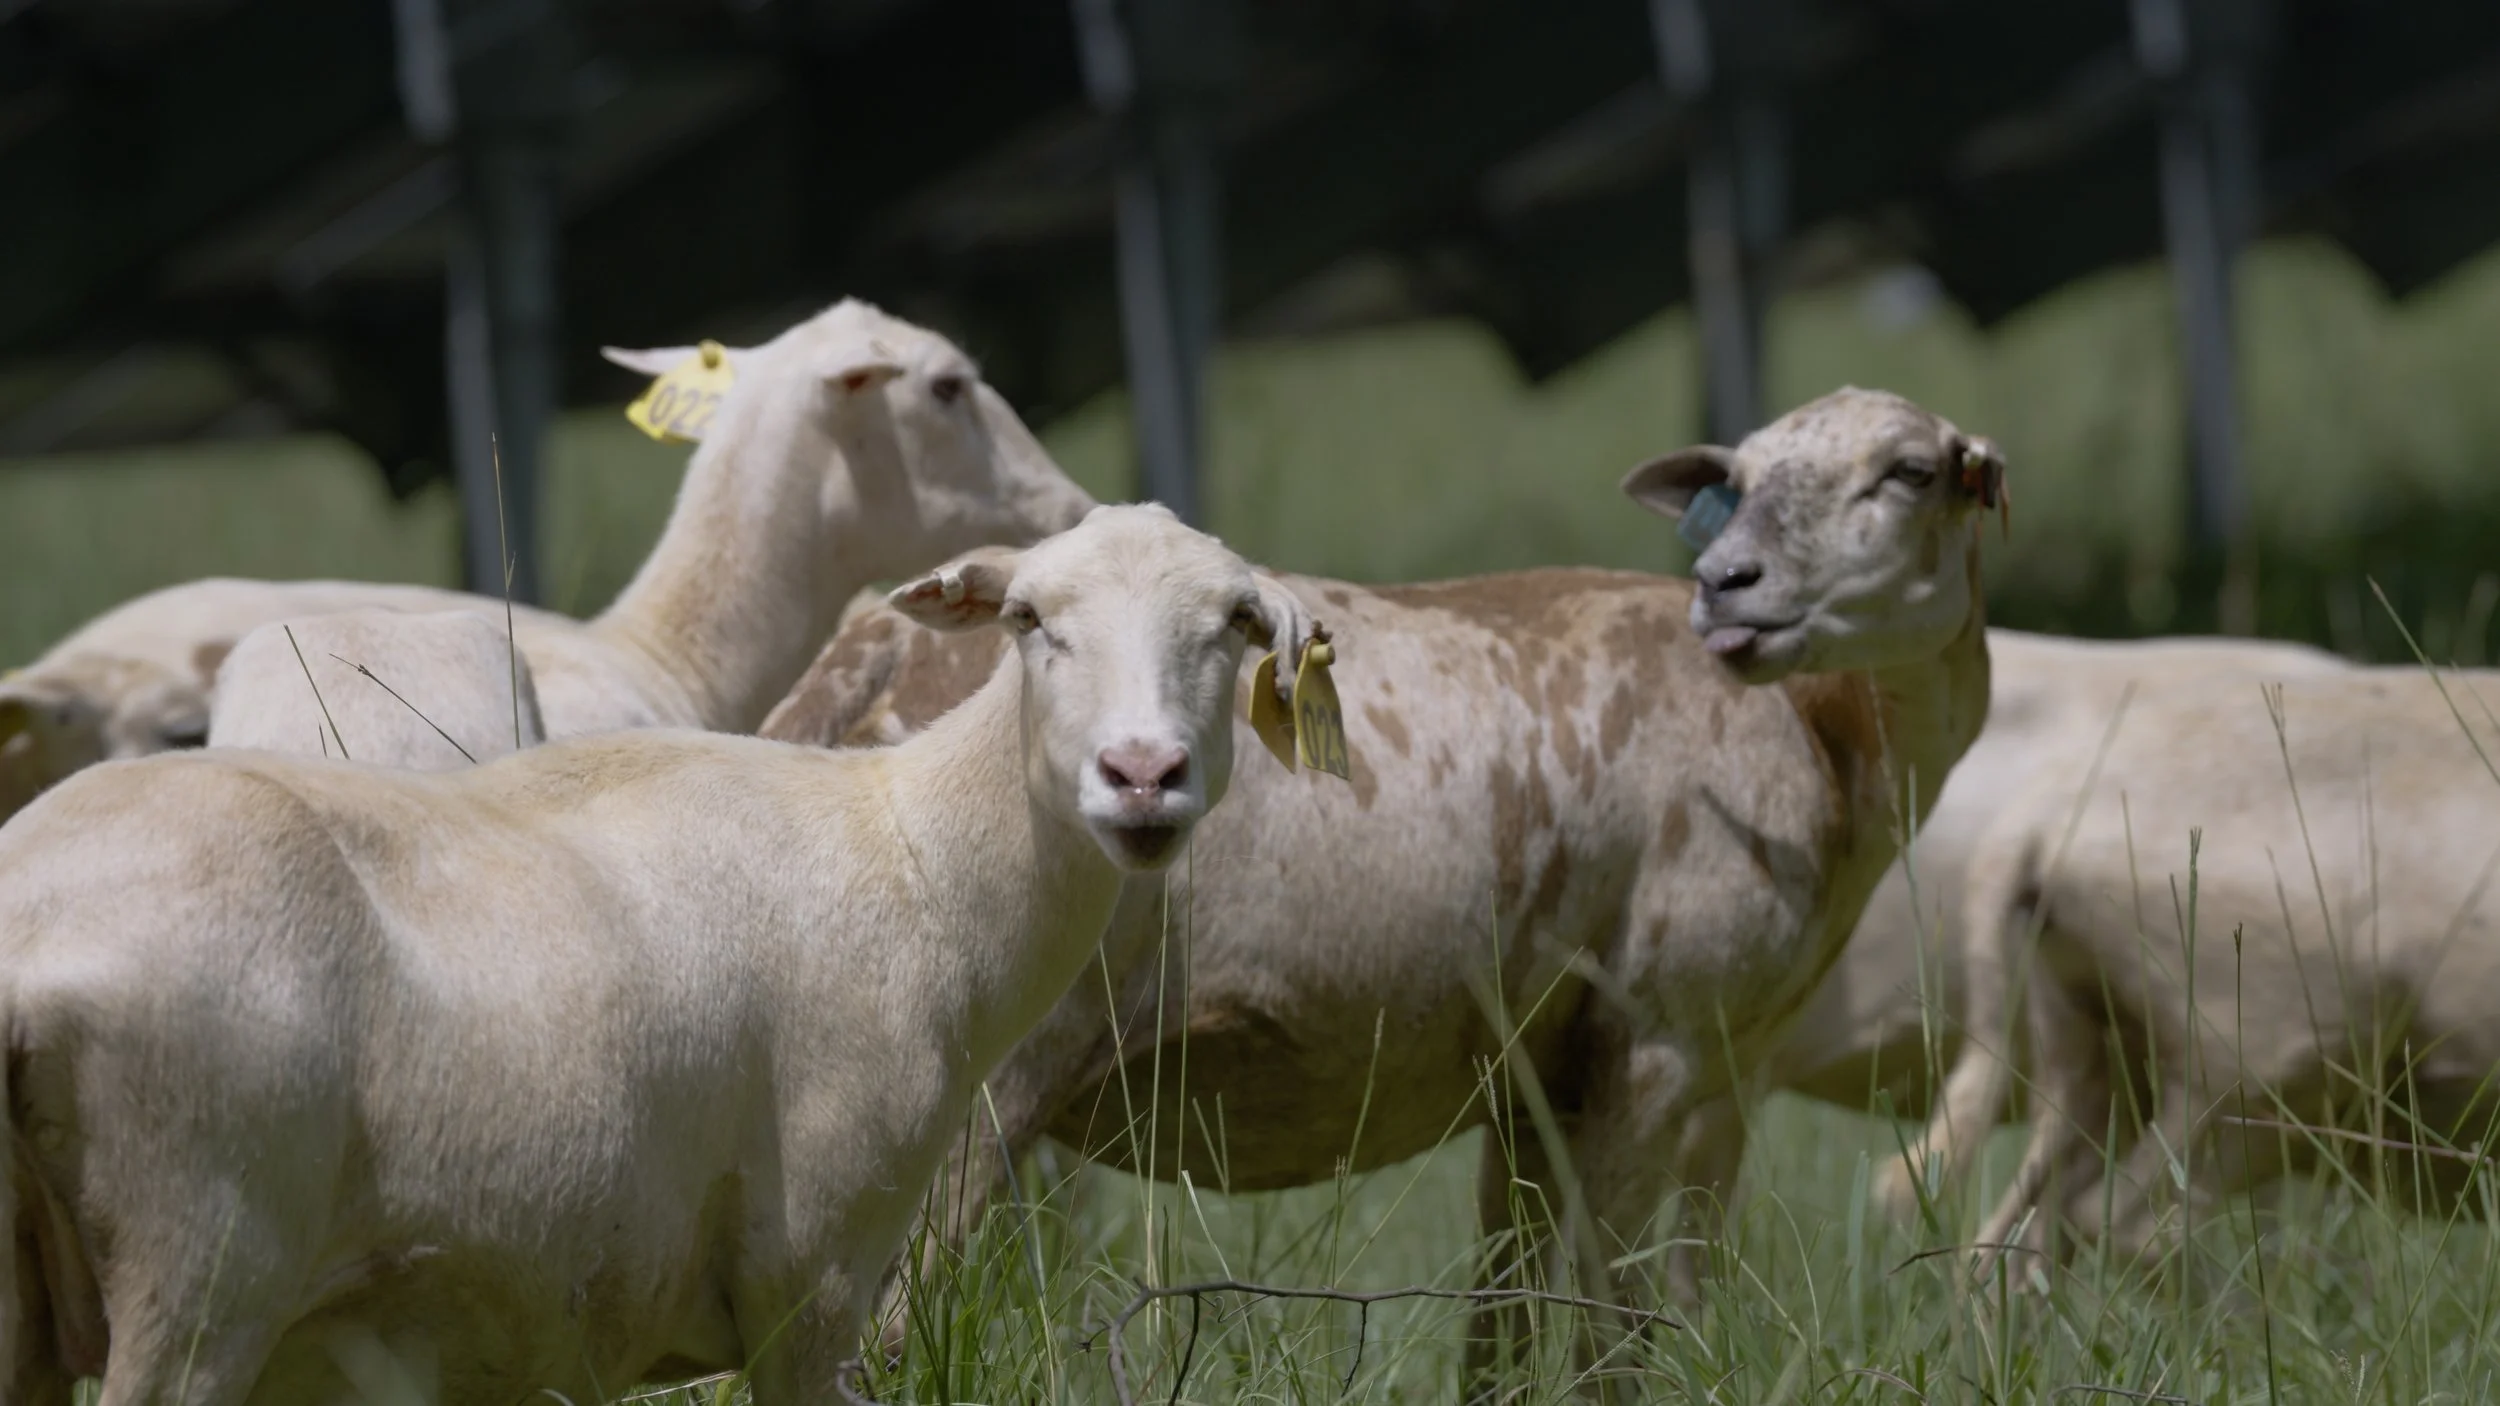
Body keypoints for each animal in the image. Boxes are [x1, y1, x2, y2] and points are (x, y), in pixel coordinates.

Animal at [758, 387, 2006, 1369]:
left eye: (1908, 472)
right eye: (1735, 481)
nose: (1727, 584)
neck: (1830, 733)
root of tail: (869, 655)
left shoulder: (1539, 1073)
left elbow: (1505, 1327)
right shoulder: (1658, 1046)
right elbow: (1612, 1331)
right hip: (968, 1081)